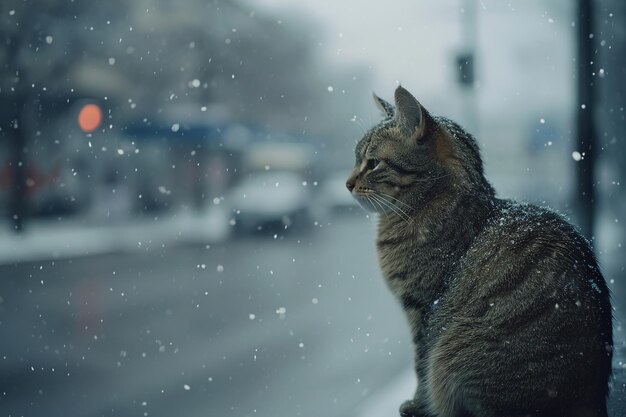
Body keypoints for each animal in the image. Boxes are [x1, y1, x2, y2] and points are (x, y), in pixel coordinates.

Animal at [344, 84, 612, 416]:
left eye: (372, 163)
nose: (347, 183)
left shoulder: (423, 309)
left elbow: (420, 365)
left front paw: (417, 404)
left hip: (452, 352)